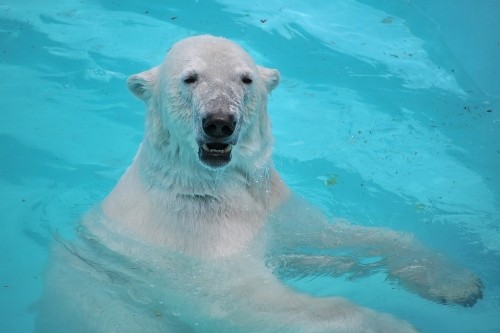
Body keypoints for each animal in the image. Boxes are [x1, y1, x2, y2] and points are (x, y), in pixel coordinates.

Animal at [37, 35, 482, 330]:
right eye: (190, 78)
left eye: (245, 79)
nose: (219, 121)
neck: (211, 186)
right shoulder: (189, 244)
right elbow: (237, 297)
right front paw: (390, 325)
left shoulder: (271, 204)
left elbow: (334, 236)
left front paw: (458, 283)